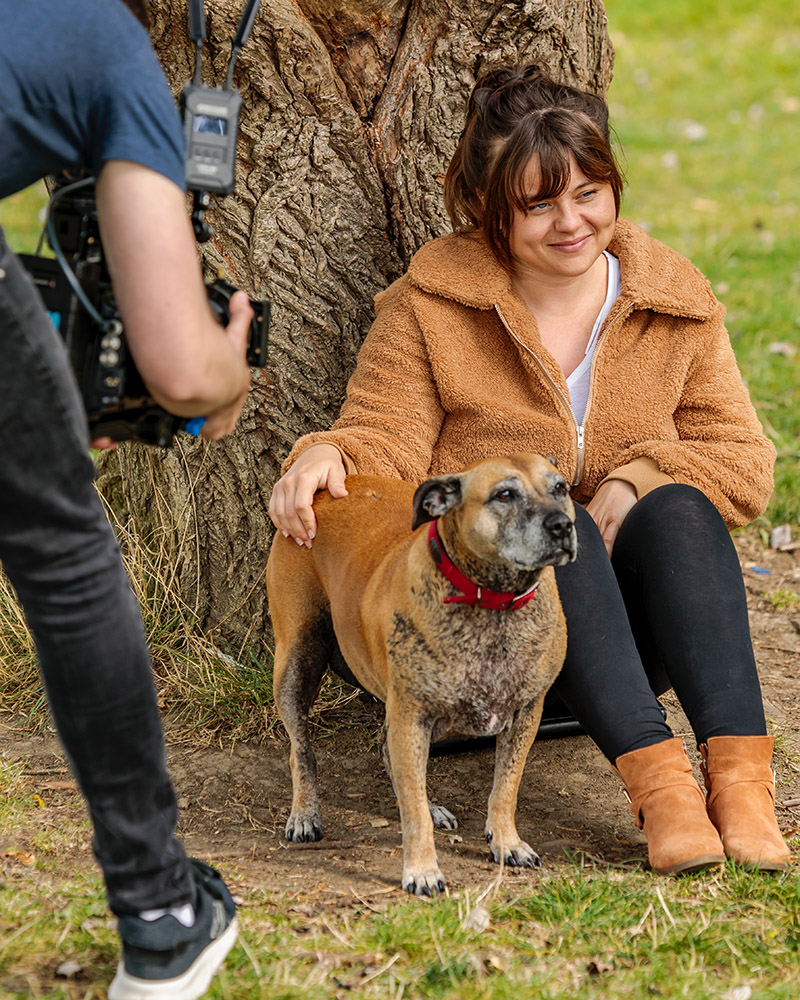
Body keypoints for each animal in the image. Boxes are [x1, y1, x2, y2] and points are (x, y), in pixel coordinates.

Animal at [268, 450, 576, 896]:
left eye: (560, 488)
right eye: (504, 494)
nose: (562, 525)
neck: (493, 603)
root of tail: (325, 490)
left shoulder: (525, 715)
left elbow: (506, 786)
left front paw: (507, 842)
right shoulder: (412, 715)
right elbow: (411, 811)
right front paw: (422, 869)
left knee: (390, 754)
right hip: (297, 661)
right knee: (301, 750)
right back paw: (305, 814)